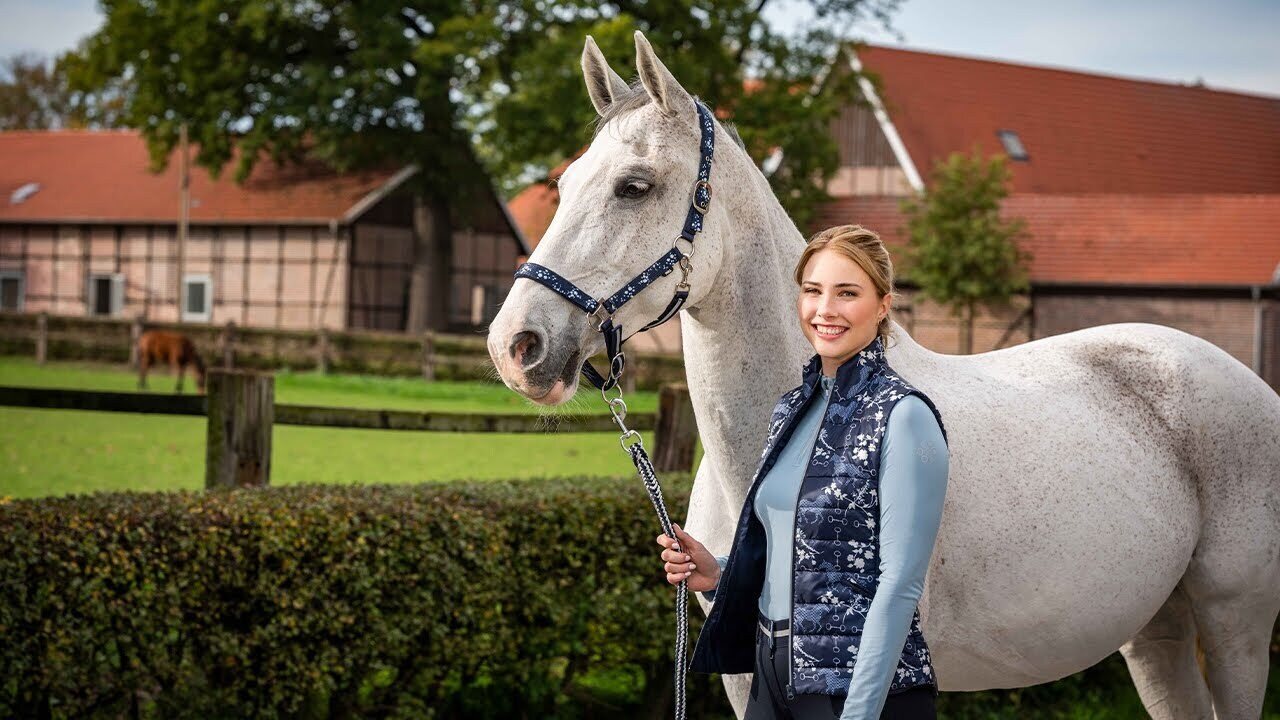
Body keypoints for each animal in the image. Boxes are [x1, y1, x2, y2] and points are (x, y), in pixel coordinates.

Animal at [486, 32, 1280, 719]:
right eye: (563, 183)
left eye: (635, 186)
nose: (515, 346)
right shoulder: (744, 674)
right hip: (1157, 633)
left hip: (1235, 625)